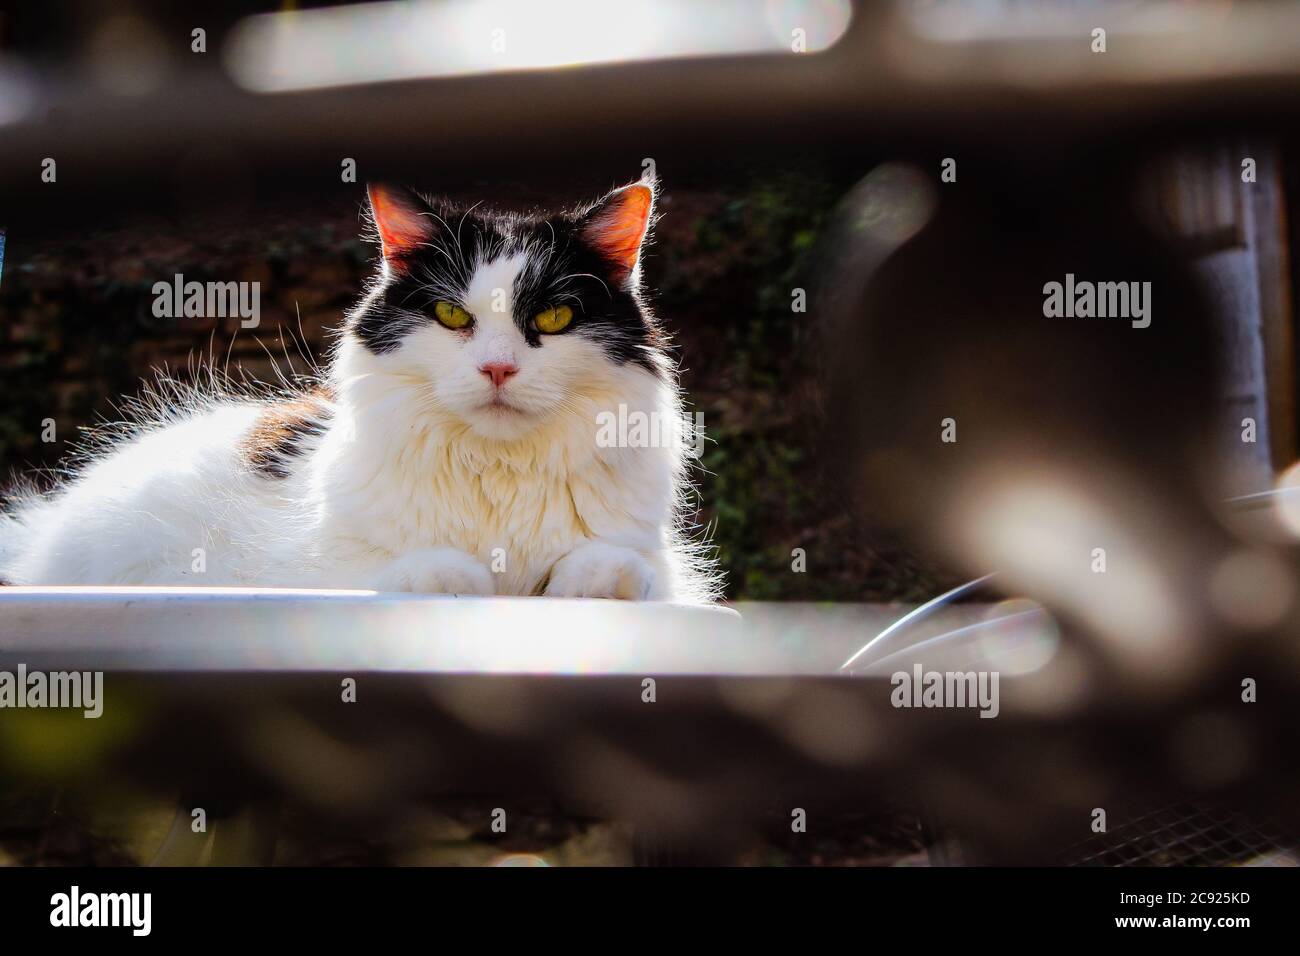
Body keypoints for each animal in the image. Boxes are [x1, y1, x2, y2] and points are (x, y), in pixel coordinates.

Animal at [0, 175, 722, 600]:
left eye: (551, 319)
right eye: (452, 315)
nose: (497, 369)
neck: (498, 473)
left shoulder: (658, 567)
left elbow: (609, 566)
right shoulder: (310, 572)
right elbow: (437, 570)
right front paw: (477, 581)